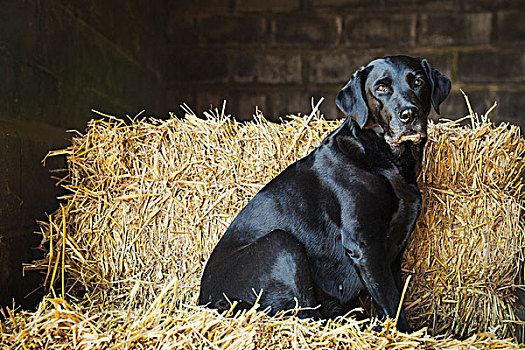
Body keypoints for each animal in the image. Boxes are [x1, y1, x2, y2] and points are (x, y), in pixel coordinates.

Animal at [198, 55, 450, 330]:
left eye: (418, 82)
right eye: (381, 88)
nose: (409, 114)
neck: (386, 160)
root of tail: (202, 301)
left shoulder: (394, 250)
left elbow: (395, 298)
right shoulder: (364, 243)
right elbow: (390, 299)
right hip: (281, 244)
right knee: (305, 314)